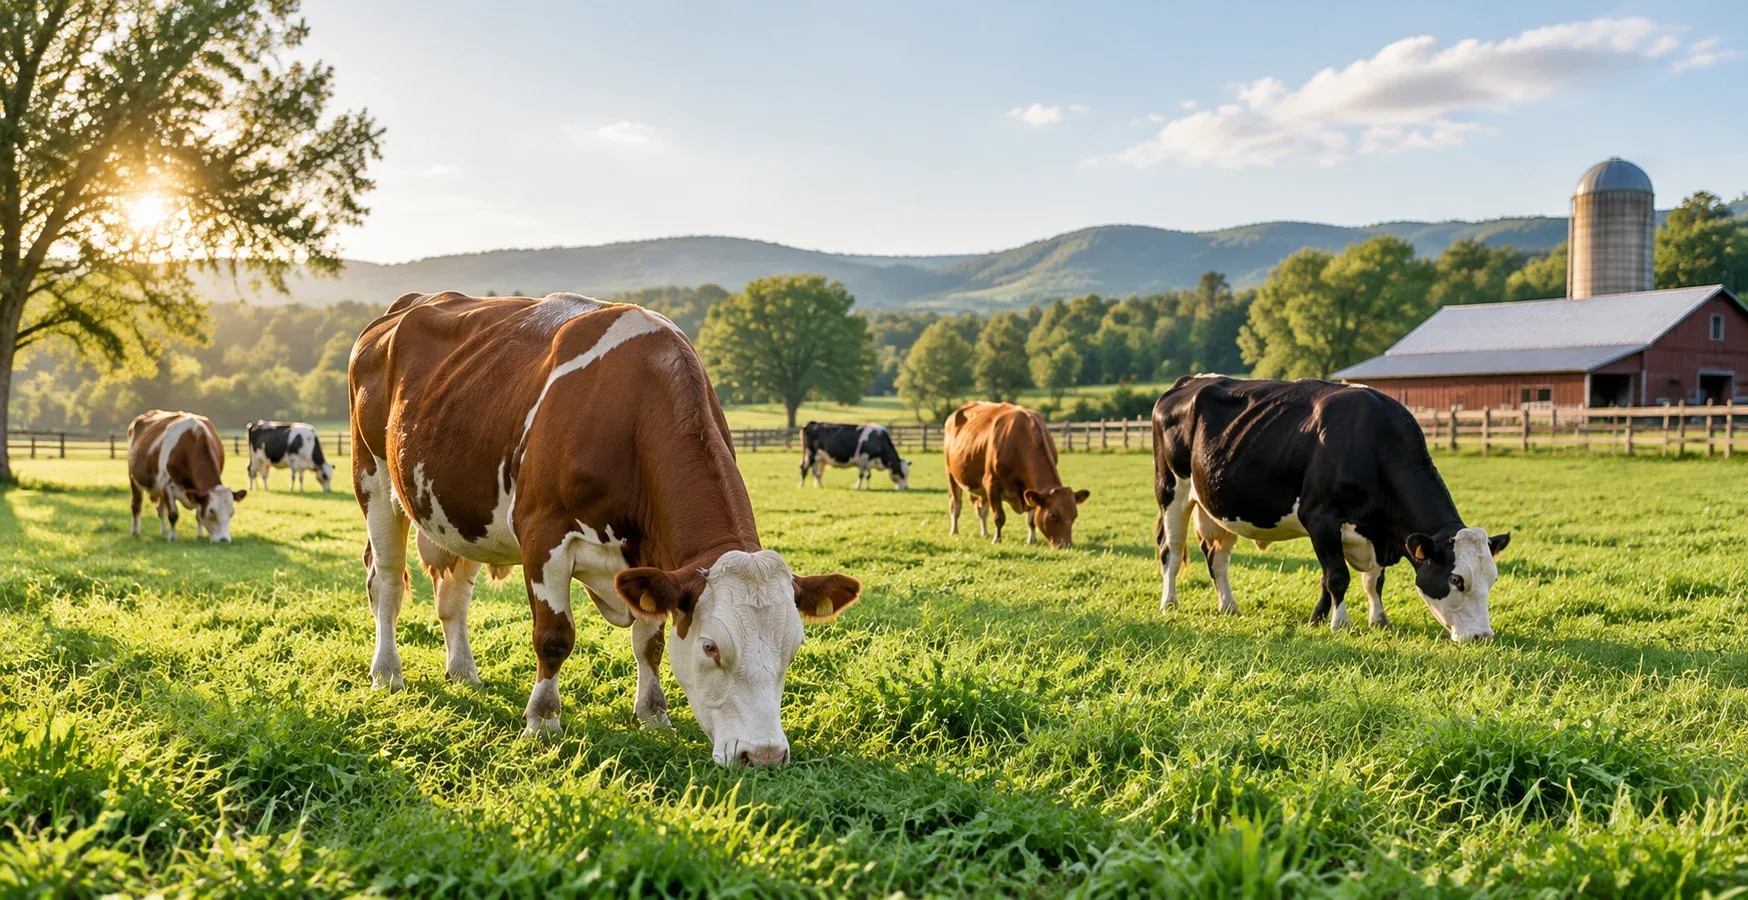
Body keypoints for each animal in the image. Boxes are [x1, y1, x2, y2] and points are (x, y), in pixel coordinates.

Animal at [127, 410, 247, 543]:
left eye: (231, 512)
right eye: (211, 511)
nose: (224, 539)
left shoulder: (198, 492)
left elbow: (199, 515)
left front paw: (200, 535)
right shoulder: (166, 485)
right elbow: (173, 515)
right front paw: (173, 537)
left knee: (160, 509)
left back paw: (163, 532)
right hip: (133, 478)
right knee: (136, 505)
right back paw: (135, 532)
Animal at [349, 291, 862, 766]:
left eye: (794, 647)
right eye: (711, 647)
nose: (765, 755)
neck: (631, 412)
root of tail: (408, 304)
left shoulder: (656, 562)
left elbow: (650, 643)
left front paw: (654, 714)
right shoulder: (544, 535)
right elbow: (554, 636)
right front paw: (542, 721)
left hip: (460, 513)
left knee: (453, 593)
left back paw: (462, 671)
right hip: (372, 478)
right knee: (387, 583)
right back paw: (387, 672)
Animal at [942, 401, 1089, 548]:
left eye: (1074, 515)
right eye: (1052, 515)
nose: (1066, 545)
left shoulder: (1029, 489)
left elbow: (1031, 520)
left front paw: (1031, 540)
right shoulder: (991, 483)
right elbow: (999, 516)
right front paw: (997, 539)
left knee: (982, 510)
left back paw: (985, 533)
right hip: (951, 474)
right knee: (956, 504)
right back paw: (954, 531)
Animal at [1152, 375, 1511, 642]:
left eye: (1492, 578)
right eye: (1457, 579)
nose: (1482, 636)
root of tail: (1189, 382)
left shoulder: (1376, 533)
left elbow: (1369, 581)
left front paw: (1373, 619)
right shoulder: (1320, 519)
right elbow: (1337, 576)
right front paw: (1339, 622)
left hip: (1219, 506)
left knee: (1218, 557)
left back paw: (1228, 605)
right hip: (1172, 489)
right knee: (1172, 550)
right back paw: (1169, 603)